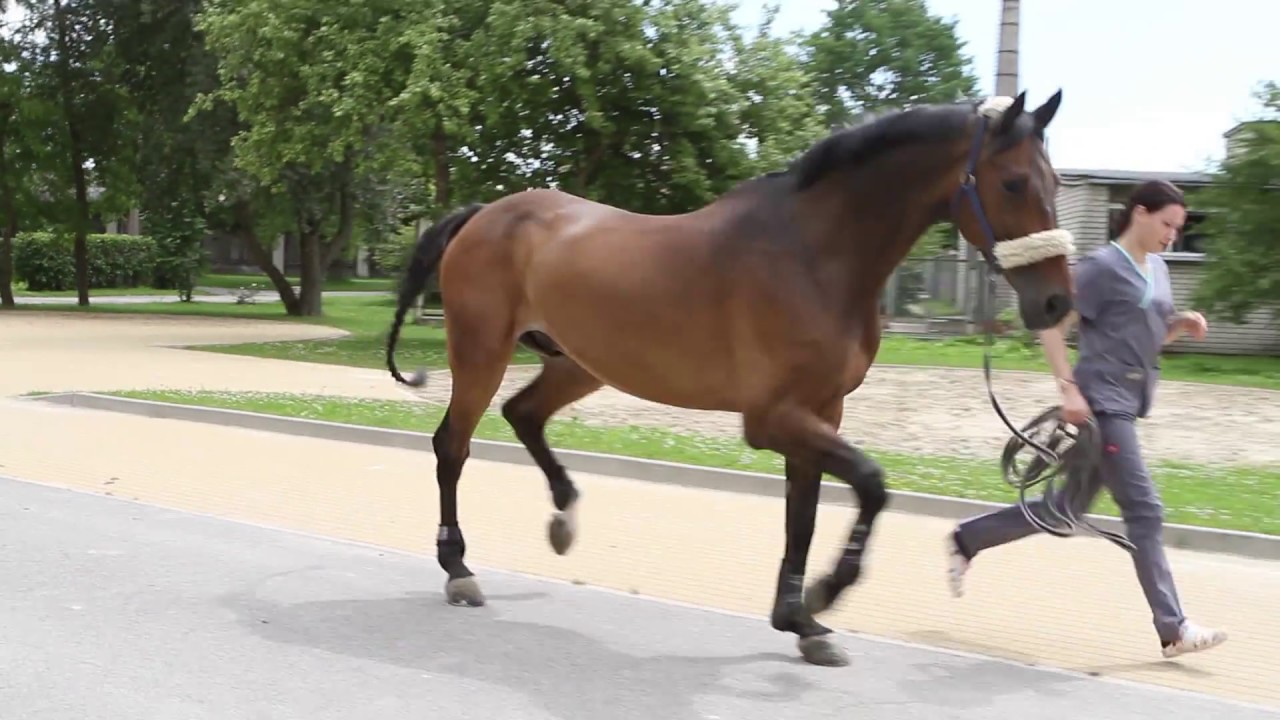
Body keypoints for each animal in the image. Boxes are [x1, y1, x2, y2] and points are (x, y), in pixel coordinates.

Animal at [384, 90, 1076, 667]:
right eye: (1013, 181)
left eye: (1055, 181)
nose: (1055, 304)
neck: (815, 255)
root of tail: (482, 216)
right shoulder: (772, 419)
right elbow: (872, 484)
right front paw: (826, 593)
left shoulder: (822, 412)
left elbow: (804, 516)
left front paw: (800, 622)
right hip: (482, 353)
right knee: (453, 446)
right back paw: (459, 569)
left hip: (580, 362)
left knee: (523, 415)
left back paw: (563, 519)